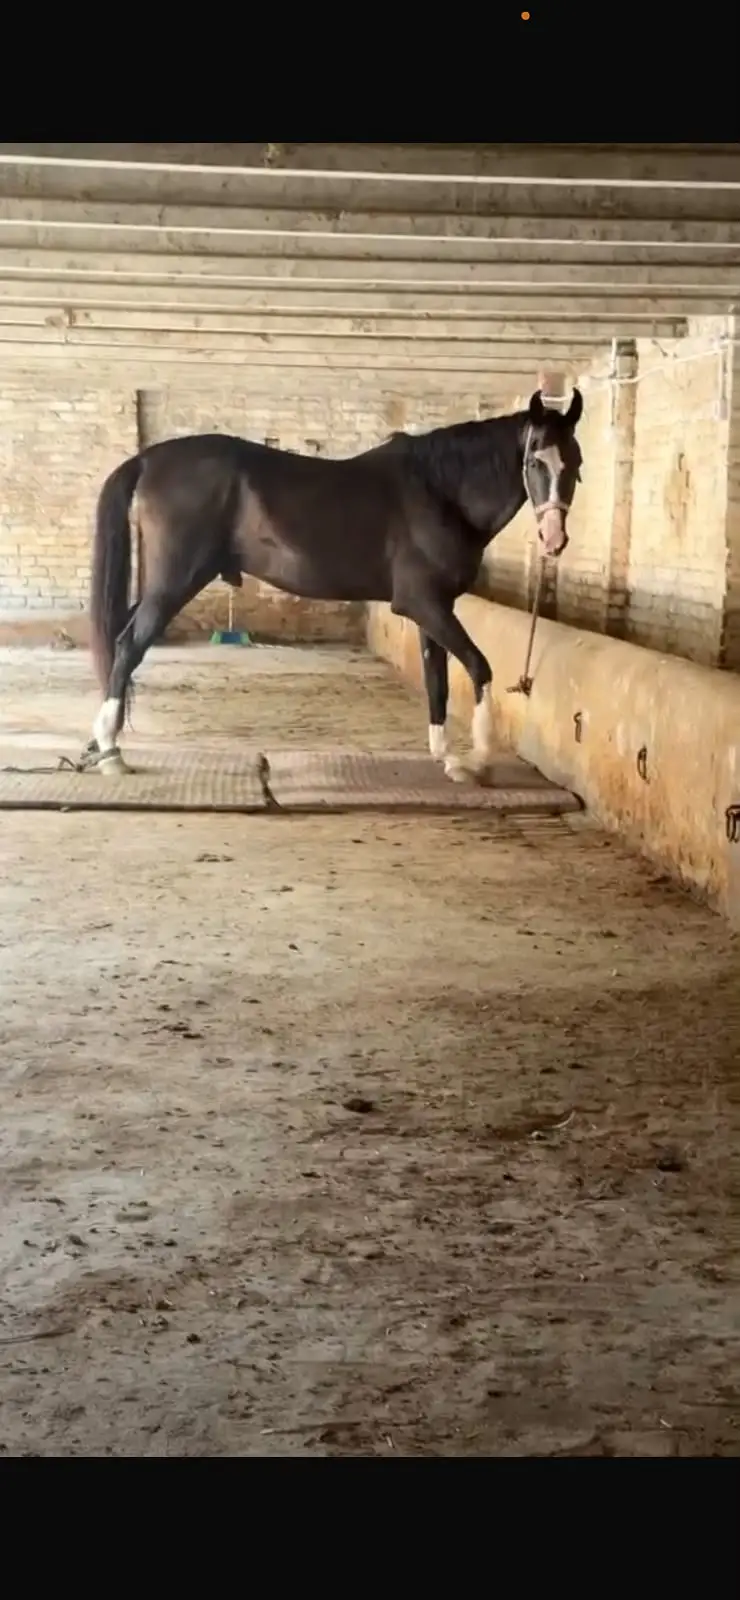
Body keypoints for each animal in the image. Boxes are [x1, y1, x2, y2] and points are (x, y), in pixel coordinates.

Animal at [85, 387, 584, 781]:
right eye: (535, 459)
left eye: (575, 462)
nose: (554, 539)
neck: (438, 490)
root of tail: (148, 459)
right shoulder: (423, 604)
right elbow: (479, 667)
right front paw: (476, 760)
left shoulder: (434, 609)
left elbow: (437, 680)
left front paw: (446, 757)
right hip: (175, 581)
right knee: (129, 645)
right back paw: (111, 751)